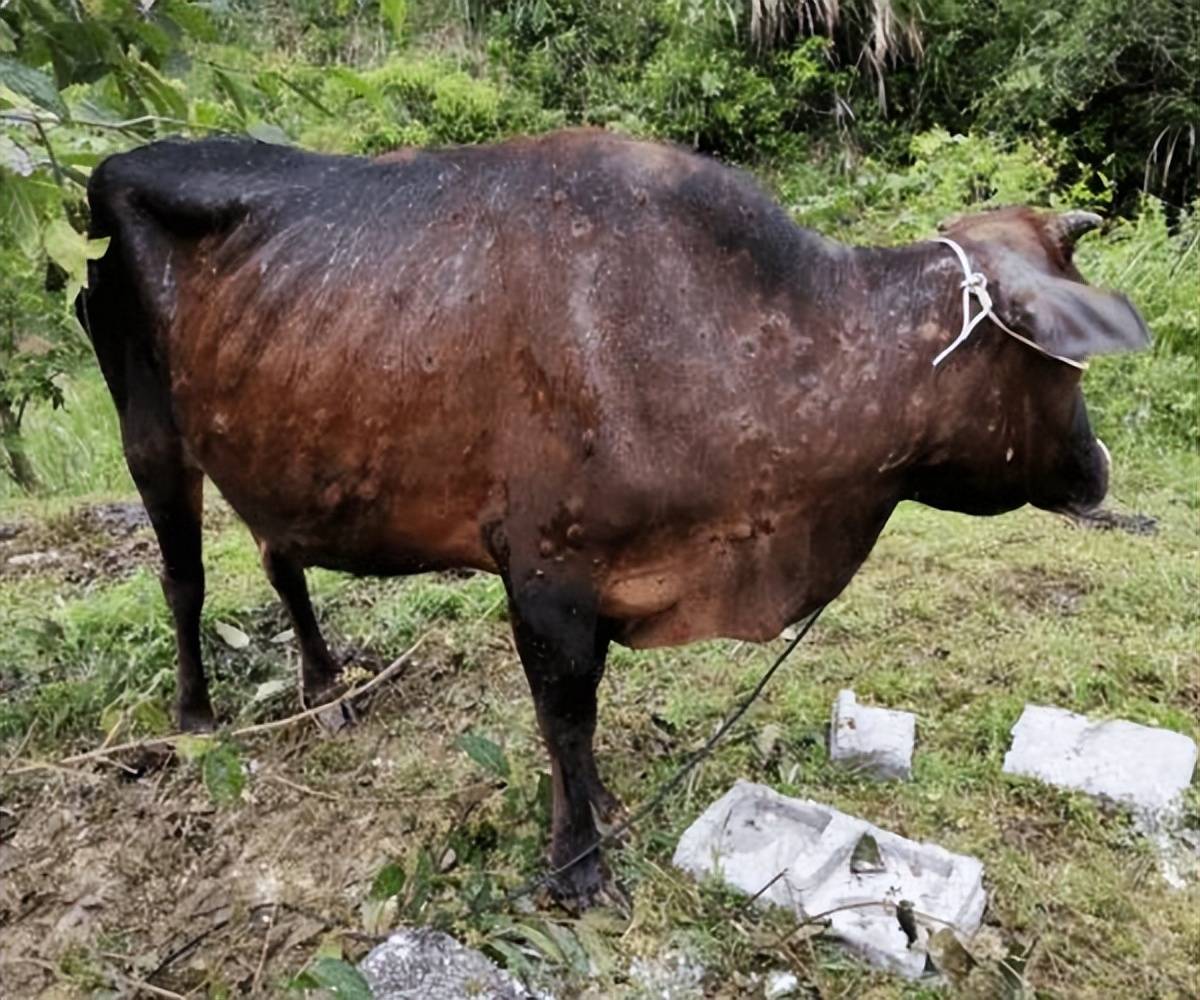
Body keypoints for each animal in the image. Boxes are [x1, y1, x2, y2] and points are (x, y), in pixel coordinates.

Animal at [79, 126, 1147, 902]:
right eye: (1067, 358)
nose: (1098, 466)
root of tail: (121, 159)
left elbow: (579, 728)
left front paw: (596, 806)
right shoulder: (546, 579)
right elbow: (566, 717)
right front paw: (577, 865)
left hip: (272, 444)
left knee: (278, 555)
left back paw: (326, 684)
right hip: (147, 430)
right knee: (184, 574)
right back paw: (195, 717)